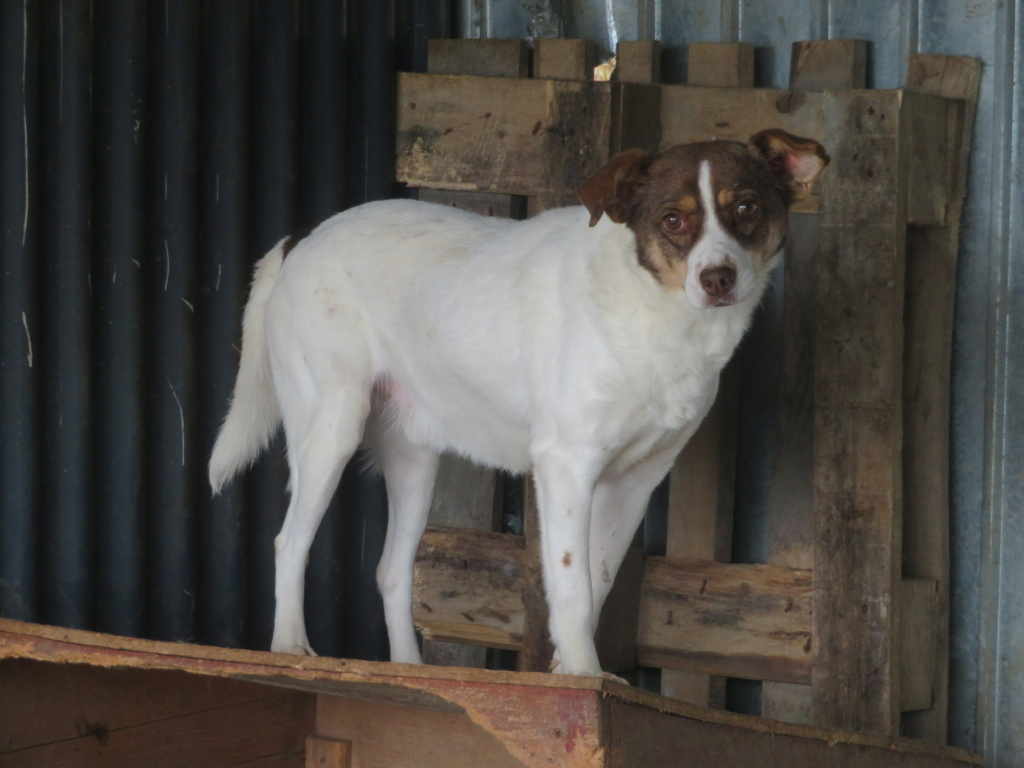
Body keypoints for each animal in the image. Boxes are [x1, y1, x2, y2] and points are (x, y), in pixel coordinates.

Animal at [207, 129, 823, 675]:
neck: (658, 313)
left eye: (746, 207)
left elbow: (597, 583)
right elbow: (571, 586)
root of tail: (302, 236)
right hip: (330, 428)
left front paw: (567, 671)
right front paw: (584, 675)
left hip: (413, 459)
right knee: (289, 543)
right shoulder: (565, 464)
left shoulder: (635, 482)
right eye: (673, 219)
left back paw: (410, 668)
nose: (718, 278)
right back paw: (290, 647)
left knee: (391, 571)